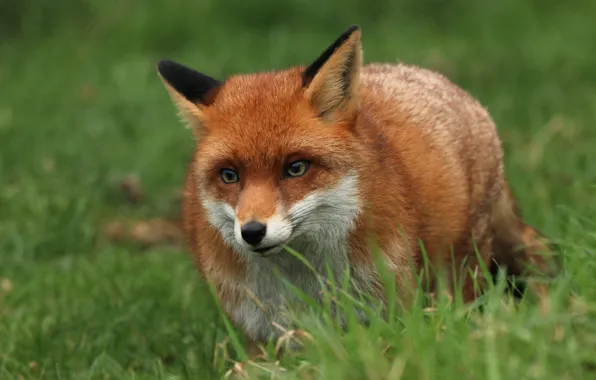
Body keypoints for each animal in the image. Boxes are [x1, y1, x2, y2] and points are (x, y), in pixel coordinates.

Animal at [156, 25, 556, 354]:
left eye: (295, 168)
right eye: (229, 175)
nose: (252, 232)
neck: (302, 280)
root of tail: (433, 78)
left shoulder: (389, 304)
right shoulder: (262, 332)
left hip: (463, 265)